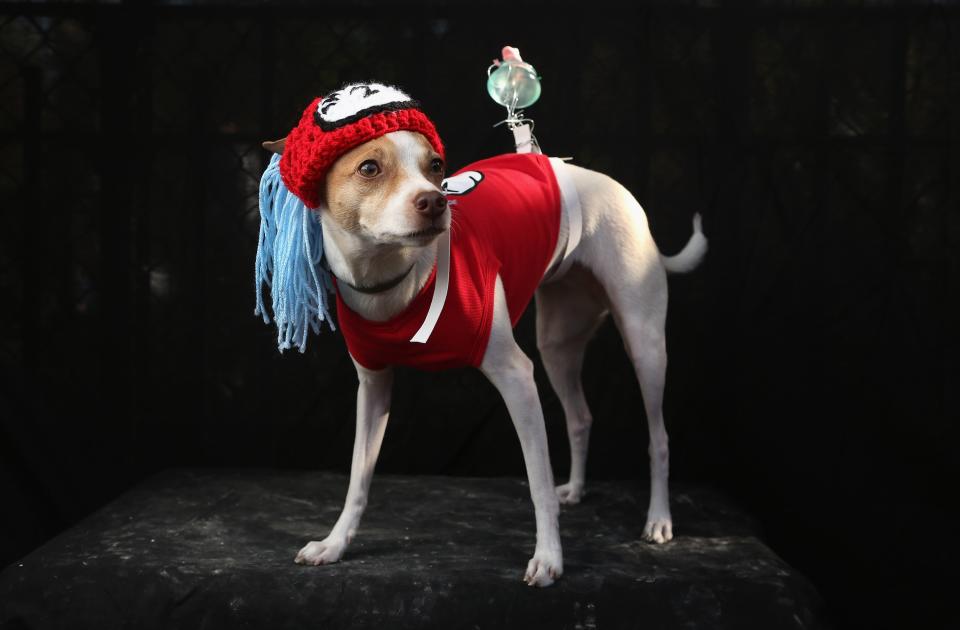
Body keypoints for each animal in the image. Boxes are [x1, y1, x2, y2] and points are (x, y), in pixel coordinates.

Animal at [255, 82, 704, 588]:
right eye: (369, 168)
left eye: (436, 167)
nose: (434, 201)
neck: (398, 279)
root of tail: (598, 179)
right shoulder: (373, 388)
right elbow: (358, 479)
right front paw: (334, 544)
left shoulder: (517, 377)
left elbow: (537, 481)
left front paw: (549, 558)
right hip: (557, 345)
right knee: (580, 416)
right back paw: (576, 489)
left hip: (644, 342)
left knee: (658, 435)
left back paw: (659, 520)